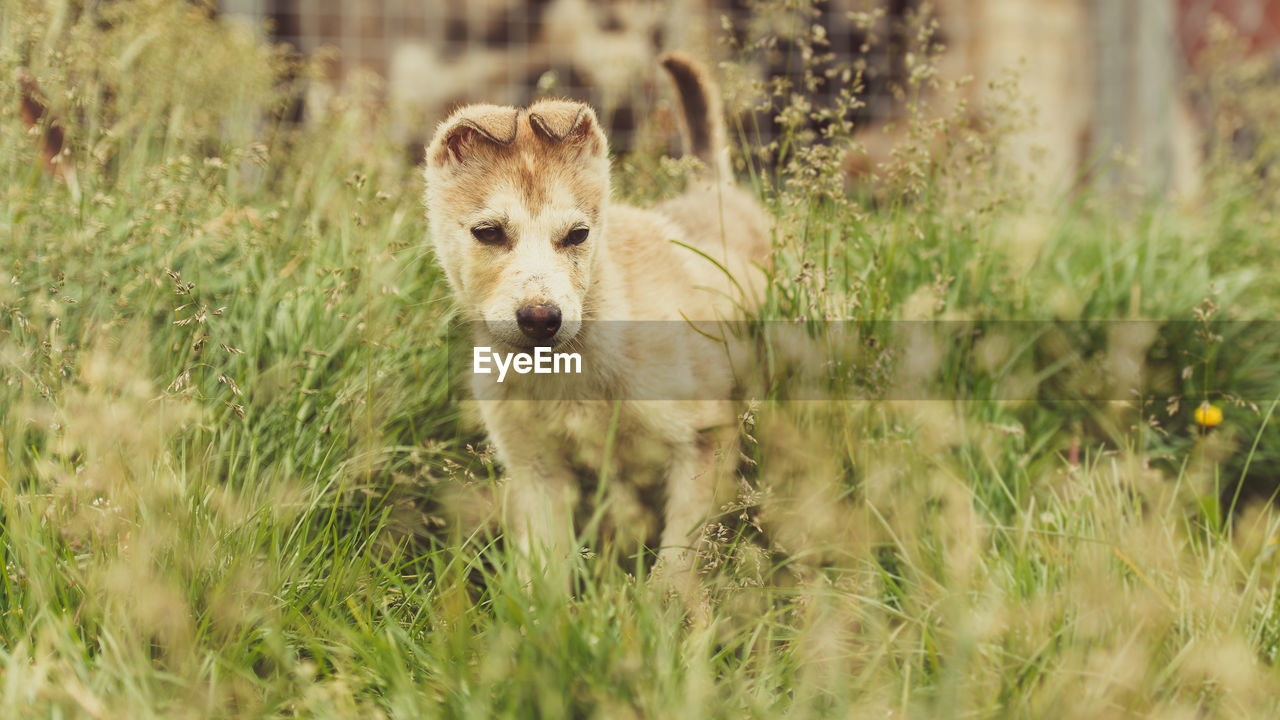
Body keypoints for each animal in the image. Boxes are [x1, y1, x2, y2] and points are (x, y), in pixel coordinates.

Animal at [424, 49, 768, 589]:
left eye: (578, 234)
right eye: (488, 232)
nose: (541, 319)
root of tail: (713, 191)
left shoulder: (704, 441)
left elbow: (677, 560)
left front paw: (671, 608)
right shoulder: (536, 469)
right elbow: (544, 578)